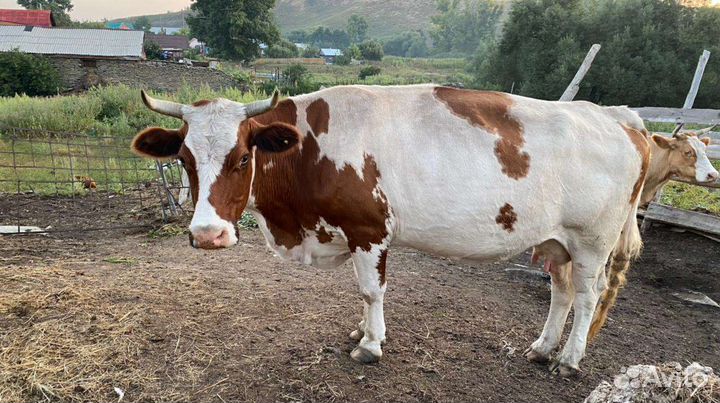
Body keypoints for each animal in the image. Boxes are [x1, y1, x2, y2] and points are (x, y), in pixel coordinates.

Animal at [132, 85, 652, 376]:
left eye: (243, 157)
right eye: (184, 159)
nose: (208, 234)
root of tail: (613, 114)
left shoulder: (369, 229)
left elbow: (371, 290)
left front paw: (370, 344)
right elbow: (362, 293)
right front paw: (361, 332)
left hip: (592, 242)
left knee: (586, 297)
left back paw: (568, 360)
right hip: (555, 241)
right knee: (561, 294)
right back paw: (543, 349)